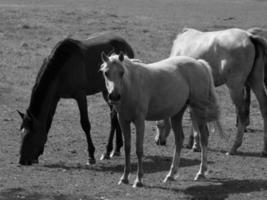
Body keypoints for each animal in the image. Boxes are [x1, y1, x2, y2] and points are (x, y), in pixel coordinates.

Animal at [16, 34, 134, 166]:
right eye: (21, 132)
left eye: (31, 134)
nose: (22, 161)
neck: (63, 66)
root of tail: (125, 44)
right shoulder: (55, 98)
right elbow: (48, 122)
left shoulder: (80, 96)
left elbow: (85, 124)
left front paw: (91, 155)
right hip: (107, 92)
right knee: (115, 116)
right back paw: (116, 148)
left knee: (114, 118)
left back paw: (108, 150)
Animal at [100, 52, 226, 188]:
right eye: (106, 73)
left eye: (122, 72)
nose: (114, 96)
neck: (131, 86)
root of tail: (199, 64)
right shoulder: (123, 121)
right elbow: (127, 148)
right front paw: (124, 178)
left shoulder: (139, 121)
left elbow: (139, 149)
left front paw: (138, 180)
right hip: (177, 114)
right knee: (179, 140)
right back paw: (171, 174)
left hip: (198, 110)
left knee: (203, 138)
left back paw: (201, 172)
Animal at [155, 27, 267, 155]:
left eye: (157, 124)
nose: (157, 141)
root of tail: (249, 37)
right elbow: (194, 113)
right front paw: (193, 141)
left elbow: (193, 115)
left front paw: (195, 143)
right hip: (255, 81)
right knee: (264, 108)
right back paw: (264, 149)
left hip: (235, 87)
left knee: (242, 113)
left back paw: (234, 147)